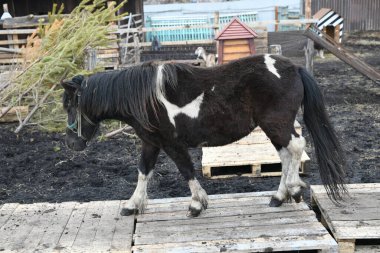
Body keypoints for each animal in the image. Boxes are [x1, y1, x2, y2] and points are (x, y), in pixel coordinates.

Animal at [61, 54, 348, 216]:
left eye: (70, 105)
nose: (72, 143)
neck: (146, 99)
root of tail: (294, 68)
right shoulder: (151, 142)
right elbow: (143, 171)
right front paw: (133, 205)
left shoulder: (171, 143)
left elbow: (186, 170)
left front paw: (197, 205)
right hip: (274, 127)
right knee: (286, 154)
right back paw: (280, 196)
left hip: (276, 123)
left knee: (296, 147)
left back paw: (293, 188)